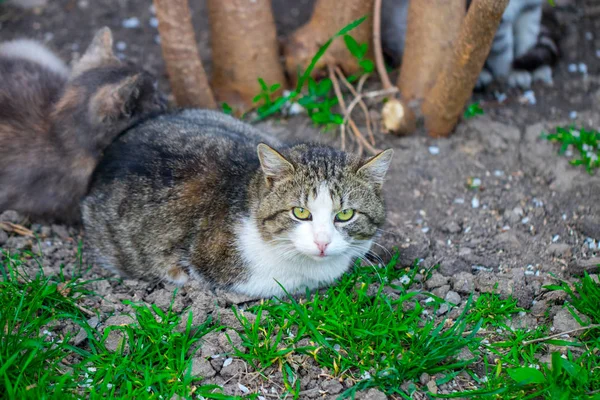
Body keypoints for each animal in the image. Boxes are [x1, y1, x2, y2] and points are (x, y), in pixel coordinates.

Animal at [382, 0, 560, 89]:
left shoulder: (530, 10)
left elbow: (527, 40)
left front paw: (530, 69)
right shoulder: (495, 19)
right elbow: (504, 52)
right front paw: (511, 73)